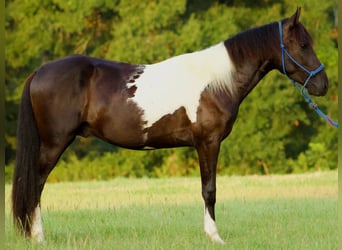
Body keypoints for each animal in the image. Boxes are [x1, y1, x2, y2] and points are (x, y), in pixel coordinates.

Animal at [12, 8, 328, 244]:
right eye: (303, 45)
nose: (323, 85)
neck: (216, 81)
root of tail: (39, 71)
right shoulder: (208, 142)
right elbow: (209, 190)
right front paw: (214, 236)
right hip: (53, 144)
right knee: (35, 186)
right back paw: (38, 237)